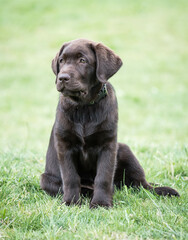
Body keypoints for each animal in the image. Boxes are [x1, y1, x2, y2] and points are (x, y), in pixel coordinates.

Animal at [40, 38, 180, 207]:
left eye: (82, 60)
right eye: (62, 61)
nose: (62, 77)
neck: (84, 107)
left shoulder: (108, 144)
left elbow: (104, 177)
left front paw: (101, 203)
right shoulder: (64, 144)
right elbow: (70, 177)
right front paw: (71, 202)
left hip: (124, 149)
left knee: (143, 186)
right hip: (46, 179)